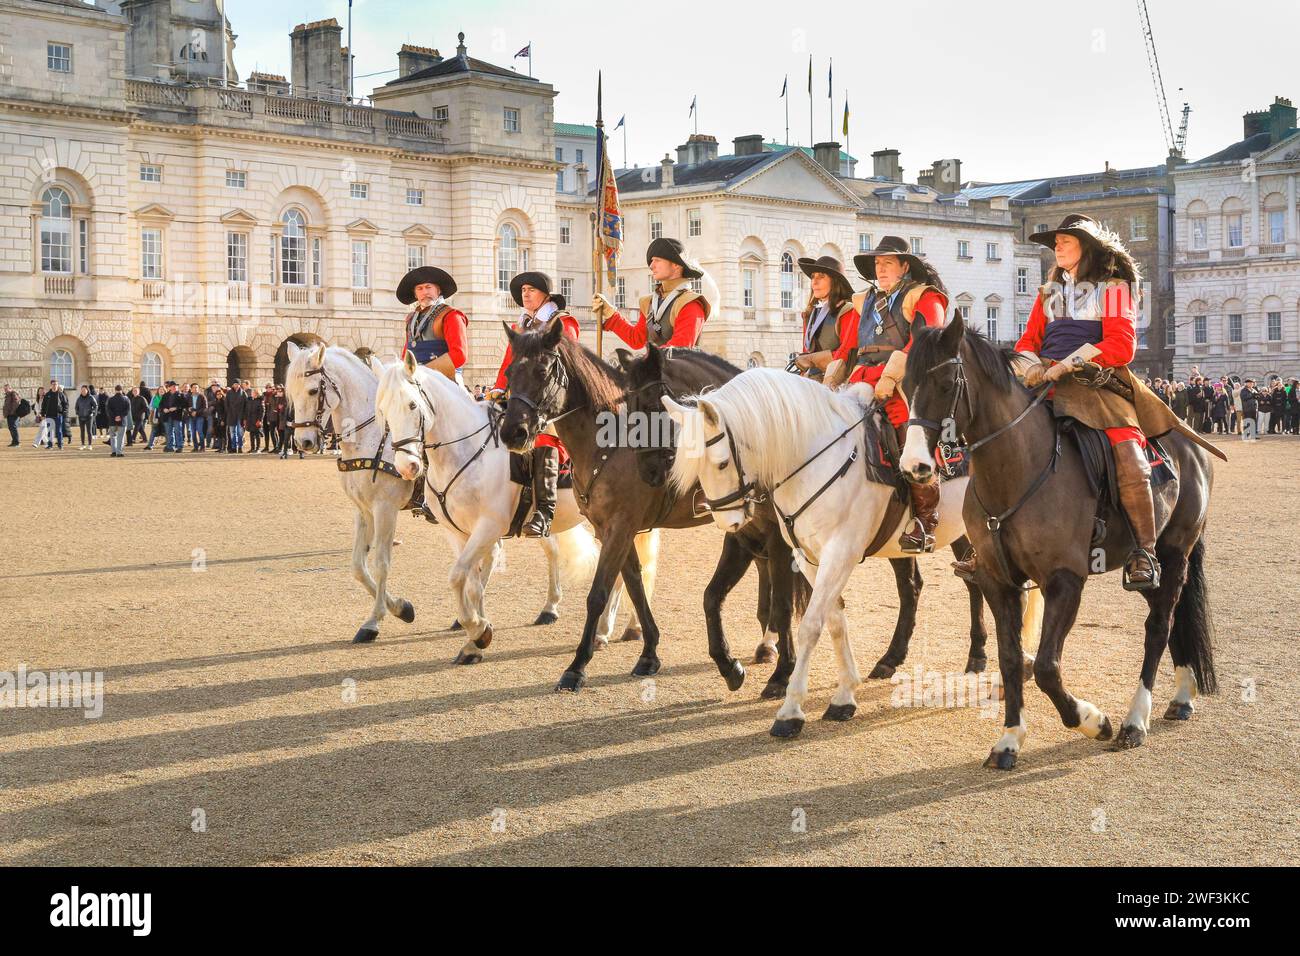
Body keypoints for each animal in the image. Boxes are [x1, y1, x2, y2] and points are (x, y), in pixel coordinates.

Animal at [379, 351, 660, 665]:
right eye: (382, 410)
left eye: (412, 404)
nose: (407, 466)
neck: (465, 452)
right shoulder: (457, 532)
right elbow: (471, 582)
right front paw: (476, 638)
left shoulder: (489, 526)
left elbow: (457, 576)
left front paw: (477, 630)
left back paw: (608, 630)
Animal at [665, 369, 1040, 738]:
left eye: (721, 463)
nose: (728, 522)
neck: (814, 457)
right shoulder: (808, 556)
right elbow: (833, 619)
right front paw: (844, 696)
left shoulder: (839, 553)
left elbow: (809, 624)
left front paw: (790, 709)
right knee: (963, 586)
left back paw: (996, 661)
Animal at [899, 314, 1211, 770]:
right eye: (905, 384)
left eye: (944, 383)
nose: (914, 466)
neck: (1017, 469)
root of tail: (1187, 443)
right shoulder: (997, 581)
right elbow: (1011, 658)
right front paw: (1009, 739)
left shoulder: (1064, 580)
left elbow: (1047, 666)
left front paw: (1093, 720)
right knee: (1169, 619)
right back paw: (1182, 694)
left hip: (1174, 555)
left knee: (1159, 626)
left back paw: (1135, 721)